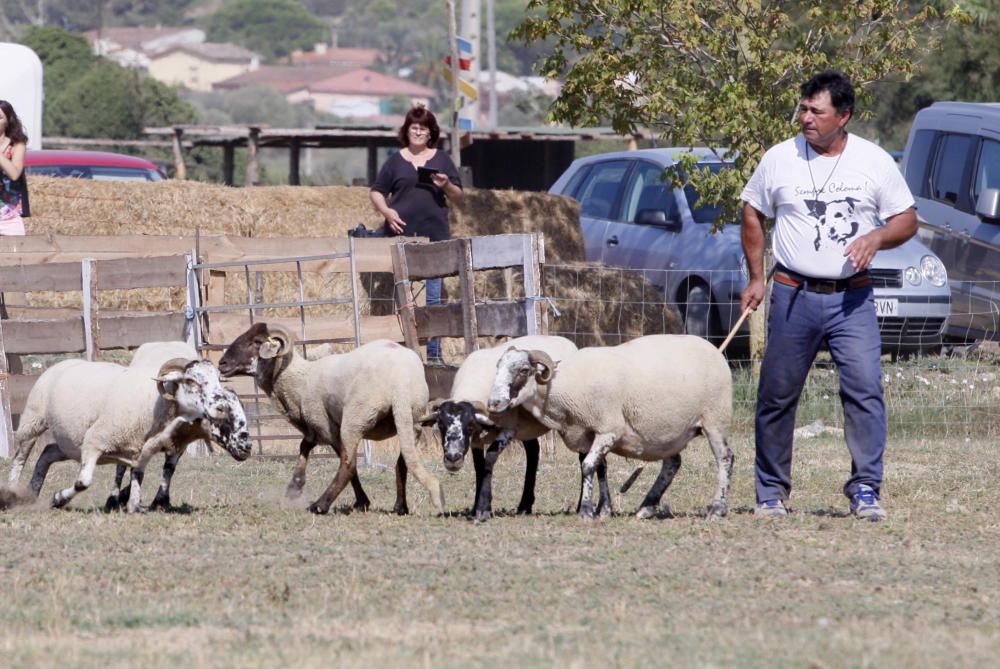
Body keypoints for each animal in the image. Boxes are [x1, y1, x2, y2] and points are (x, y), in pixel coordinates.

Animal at [7, 360, 252, 512]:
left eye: (218, 379)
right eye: (191, 381)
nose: (247, 446)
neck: (157, 404)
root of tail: (60, 363)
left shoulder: (141, 451)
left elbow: (138, 477)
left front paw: (134, 505)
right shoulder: (94, 442)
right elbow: (83, 482)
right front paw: (59, 498)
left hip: (70, 444)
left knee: (46, 454)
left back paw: (33, 493)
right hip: (33, 421)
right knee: (20, 457)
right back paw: (11, 492)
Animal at [219, 320, 442, 516]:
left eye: (256, 342)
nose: (222, 363)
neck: (300, 381)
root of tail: (400, 381)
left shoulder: (325, 424)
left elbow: (329, 454)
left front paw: (361, 502)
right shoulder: (316, 426)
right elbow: (304, 445)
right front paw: (294, 487)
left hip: (356, 417)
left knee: (348, 464)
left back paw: (320, 506)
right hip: (413, 419)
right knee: (402, 462)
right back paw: (400, 507)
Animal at [418, 336, 584, 520]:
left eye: (469, 425)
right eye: (441, 424)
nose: (453, 458)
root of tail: (565, 340)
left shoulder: (508, 428)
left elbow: (489, 460)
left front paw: (483, 509)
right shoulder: (476, 440)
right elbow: (479, 467)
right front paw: (477, 507)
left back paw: (579, 506)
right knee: (533, 452)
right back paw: (524, 506)